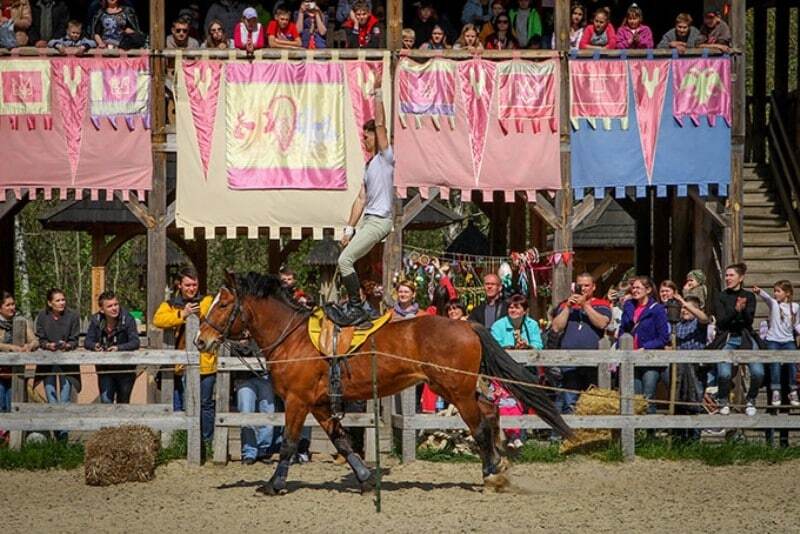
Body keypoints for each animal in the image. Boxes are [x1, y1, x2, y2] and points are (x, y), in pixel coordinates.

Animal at [196, 274, 572, 496]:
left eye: (224, 304)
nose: (201, 341)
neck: (295, 338)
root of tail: (466, 325)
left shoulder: (297, 401)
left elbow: (288, 444)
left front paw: (273, 484)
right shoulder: (319, 404)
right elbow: (343, 442)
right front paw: (365, 479)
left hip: (457, 391)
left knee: (479, 426)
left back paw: (491, 473)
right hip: (458, 389)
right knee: (491, 410)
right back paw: (499, 465)